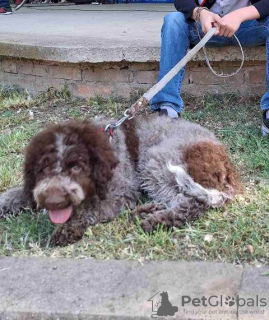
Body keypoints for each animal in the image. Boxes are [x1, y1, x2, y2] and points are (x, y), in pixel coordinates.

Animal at [0, 116, 239, 246]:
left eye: (76, 166)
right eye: (43, 168)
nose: (54, 202)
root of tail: (229, 167)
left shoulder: (120, 195)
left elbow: (88, 211)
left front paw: (68, 229)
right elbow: (16, 194)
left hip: (156, 160)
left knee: (191, 202)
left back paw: (156, 220)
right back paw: (146, 211)